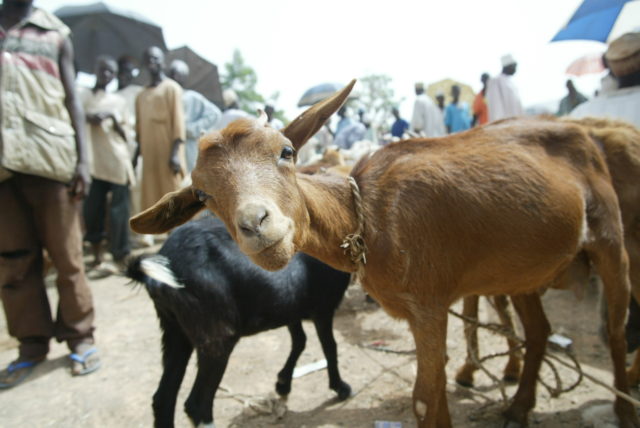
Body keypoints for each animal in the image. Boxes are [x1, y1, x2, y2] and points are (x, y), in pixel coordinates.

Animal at [127, 217, 352, 428]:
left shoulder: (290, 307)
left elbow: (299, 341)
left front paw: (283, 382)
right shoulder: (323, 308)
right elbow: (329, 347)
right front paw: (340, 387)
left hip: (174, 331)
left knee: (163, 398)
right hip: (216, 336)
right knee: (196, 403)